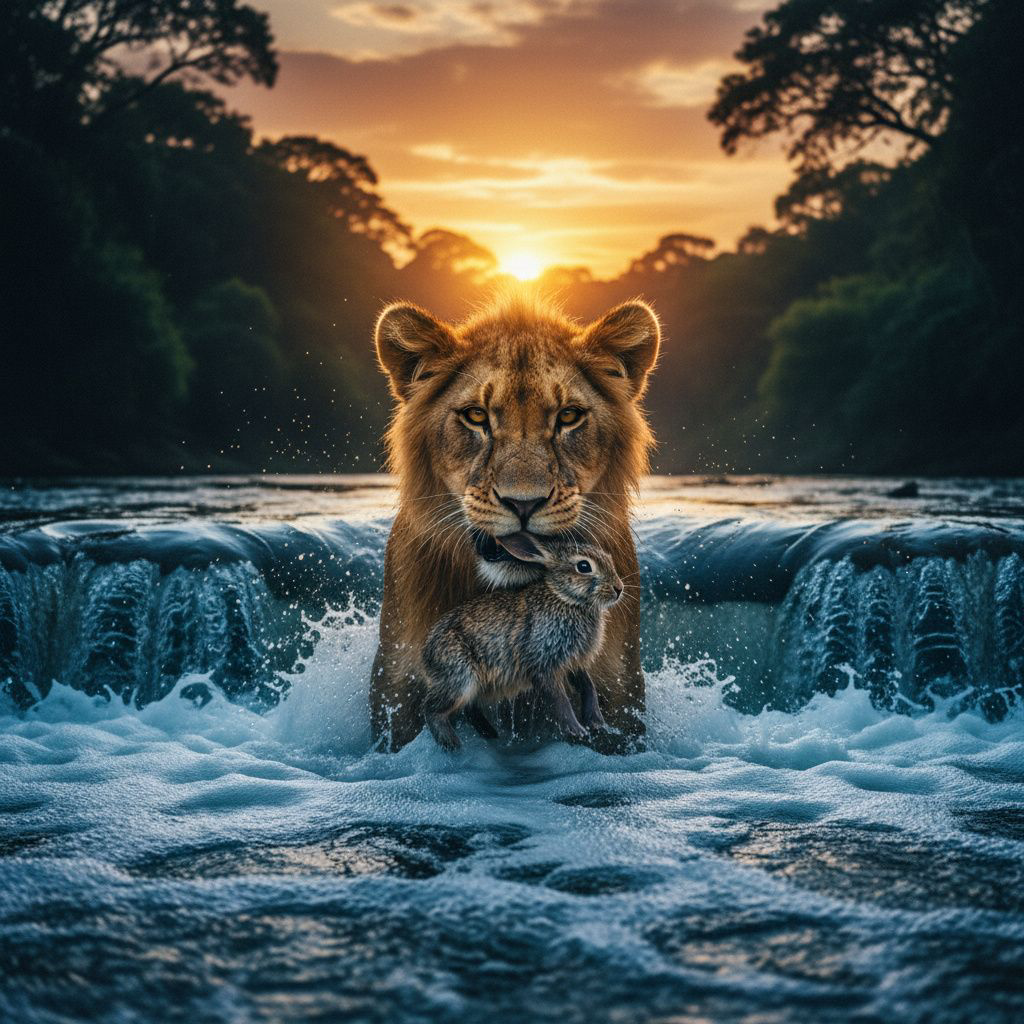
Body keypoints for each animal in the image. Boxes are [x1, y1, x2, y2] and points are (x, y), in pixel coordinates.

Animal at [420, 532, 622, 750]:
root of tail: (426, 656)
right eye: (584, 566)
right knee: (432, 709)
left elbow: (588, 687)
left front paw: (598, 723)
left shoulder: (574, 662)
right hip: (460, 678)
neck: (565, 597)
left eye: (609, 559)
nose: (619, 588)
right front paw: (577, 731)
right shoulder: (543, 663)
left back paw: (490, 734)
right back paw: (451, 742)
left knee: (469, 710)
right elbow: (560, 700)